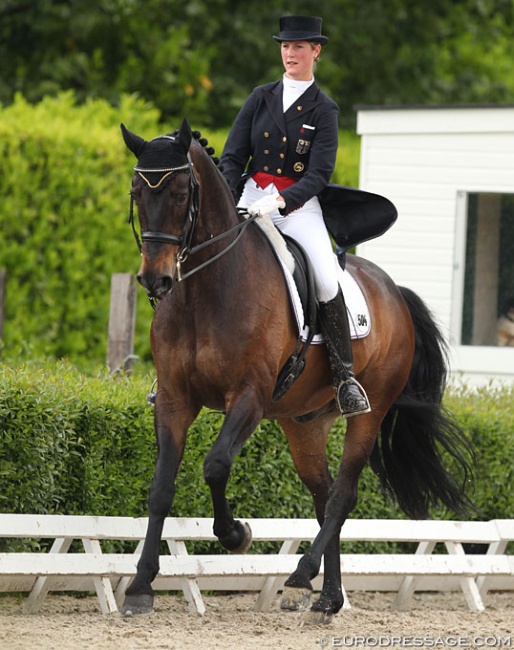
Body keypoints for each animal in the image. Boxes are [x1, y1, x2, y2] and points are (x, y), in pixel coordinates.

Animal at [120, 119, 472, 620]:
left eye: (182, 193)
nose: (156, 279)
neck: (206, 291)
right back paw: (327, 597)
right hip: (303, 423)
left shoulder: (248, 397)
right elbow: (160, 488)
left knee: (343, 493)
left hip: (370, 409)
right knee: (323, 496)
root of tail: (393, 291)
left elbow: (216, 464)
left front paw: (236, 534)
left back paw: (302, 575)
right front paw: (140, 586)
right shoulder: (173, 399)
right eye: (136, 192)